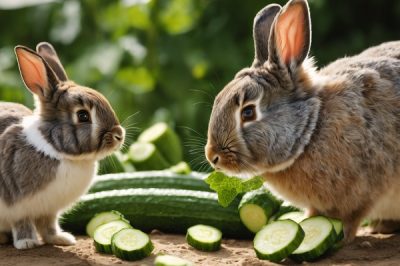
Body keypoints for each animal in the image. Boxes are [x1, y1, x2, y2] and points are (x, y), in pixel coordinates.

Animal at [0, 43, 125, 249]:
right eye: (83, 115)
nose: (119, 135)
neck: (54, 148)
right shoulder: (17, 206)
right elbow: (22, 223)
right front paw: (27, 242)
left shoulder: (49, 209)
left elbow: (49, 224)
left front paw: (61, 239)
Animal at [205, 0, 400, 243]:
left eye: (248, 113)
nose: (213, 156)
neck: (311, 130)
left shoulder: (360, 192)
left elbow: (349, 218)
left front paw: (336, 236)